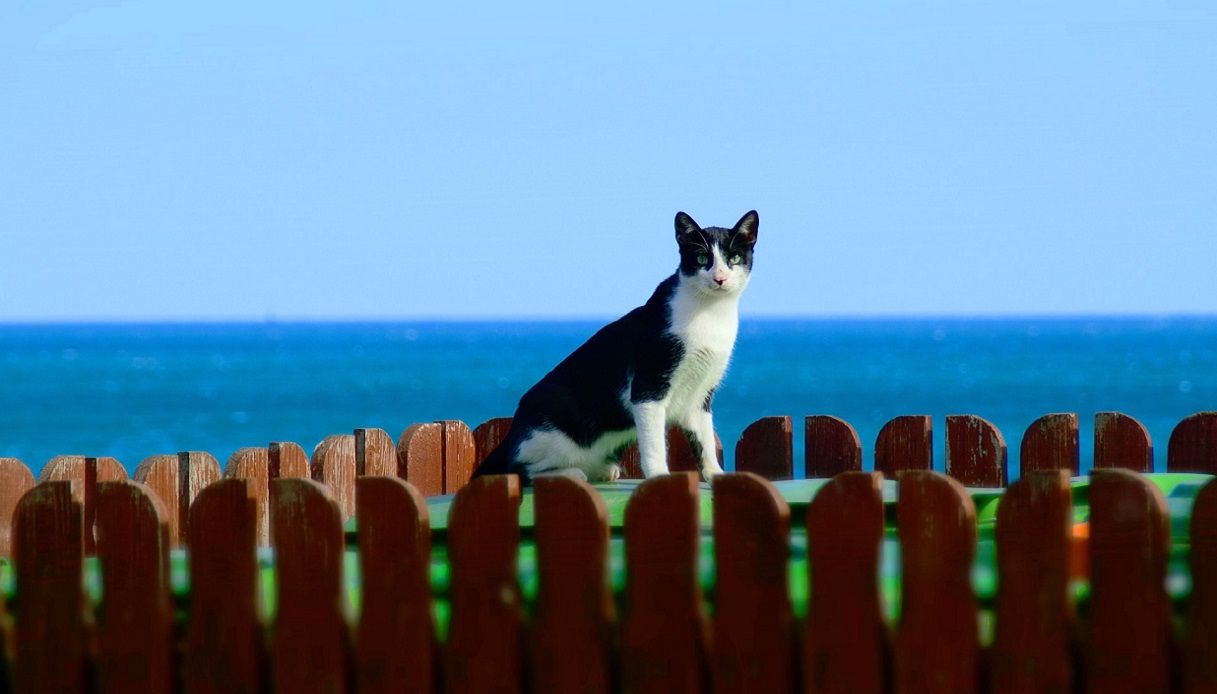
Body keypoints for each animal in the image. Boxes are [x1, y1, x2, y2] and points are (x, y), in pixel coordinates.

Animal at [469, 209, 754, 479]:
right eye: (702, 259)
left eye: (734, 258)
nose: (719, 277)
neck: (710, 313)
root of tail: (510, 434)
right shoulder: (648, 387)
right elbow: (654, 443)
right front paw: (659, 477)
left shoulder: (699, 395)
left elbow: (704, 439)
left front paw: (715, 474)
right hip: (554, 435)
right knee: (517, 470)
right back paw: (571, 473)